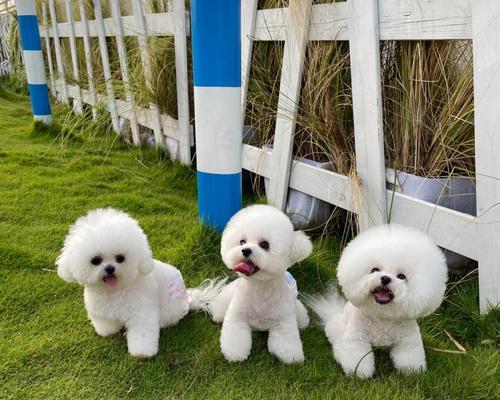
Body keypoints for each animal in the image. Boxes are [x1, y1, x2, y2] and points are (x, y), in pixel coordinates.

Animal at [56, 208, 193, 358]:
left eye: (120, 258)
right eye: (95, 260)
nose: (110, 268)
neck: (114, 290)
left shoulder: (141, 312)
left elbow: (142, 331)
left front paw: (142, 352)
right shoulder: (101, 310)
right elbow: (106, 323)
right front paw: (107, 331)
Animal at [191, 205, 312, 364]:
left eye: (265, 244)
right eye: (242, 242)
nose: (245, 250)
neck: (260, 288)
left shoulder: (284, 322)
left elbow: (286, 340)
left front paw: (291, 358)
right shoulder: (237, 317)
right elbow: (235, 338)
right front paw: (234, 355)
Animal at [306, 225, 448, 378]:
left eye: (401, 276)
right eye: (375, 269)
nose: (385, 278)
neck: (382, 316)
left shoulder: (408, 340)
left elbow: (409, 356)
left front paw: (412, 371)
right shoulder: (357, 338)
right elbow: (357, 357)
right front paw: (358, 373)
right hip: (338, 327)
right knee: (338, 342)